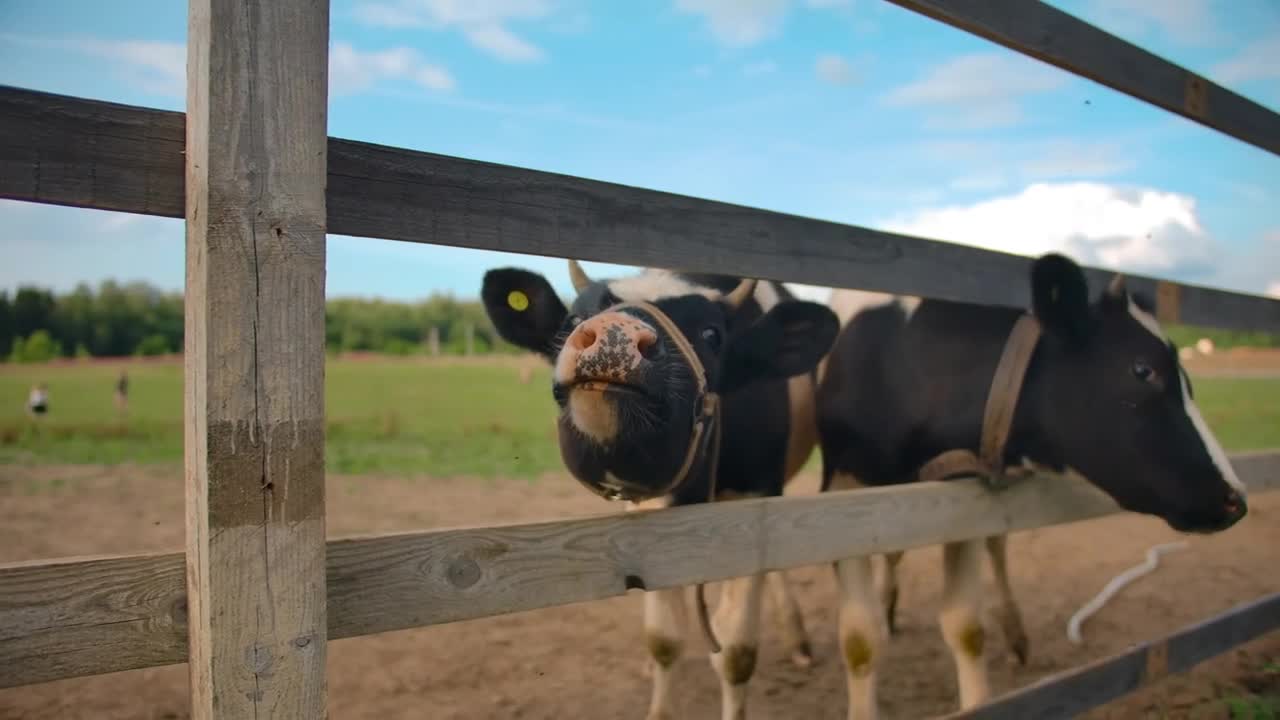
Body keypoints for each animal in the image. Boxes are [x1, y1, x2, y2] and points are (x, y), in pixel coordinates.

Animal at [481, 260, 839, 717]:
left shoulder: (755, 499)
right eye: (574, 320)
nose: (614, 333)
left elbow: (736, 653)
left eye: (712, 334)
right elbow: (665, 640)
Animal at [814, 249, 1244, 712]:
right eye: (1143, 370)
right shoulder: (841, 493)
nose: (1236, 499)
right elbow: (860, 640)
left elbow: (966, 627)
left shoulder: (960, 495)